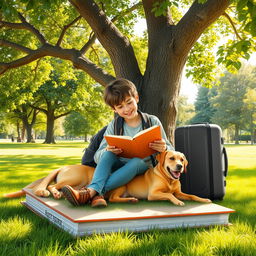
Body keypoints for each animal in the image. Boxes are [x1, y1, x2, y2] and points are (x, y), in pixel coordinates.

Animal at [4, 150, 211, 206]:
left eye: (182, 159)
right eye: (171, 158)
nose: (179, 166)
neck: (168, 179)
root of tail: (63, 166)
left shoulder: (180, 190)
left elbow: (190, 195)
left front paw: (204, 199)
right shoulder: (153, 194)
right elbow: (169, 195)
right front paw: (176, 202)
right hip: (76, 179)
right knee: (54, 186)